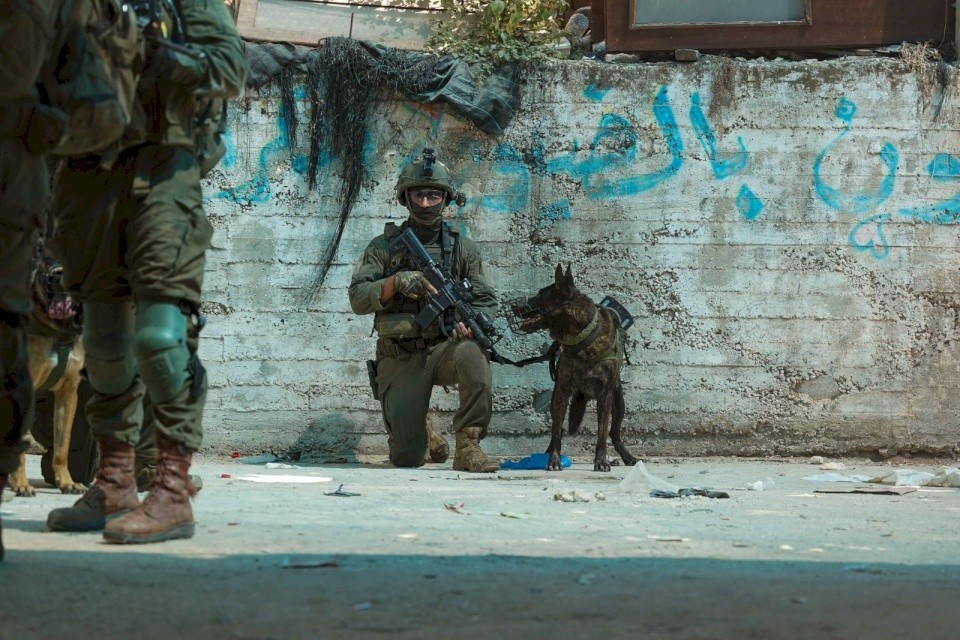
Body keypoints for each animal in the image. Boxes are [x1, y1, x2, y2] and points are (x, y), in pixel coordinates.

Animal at [7, 251, 87, 496]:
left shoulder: (68, 393)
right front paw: (21, 483)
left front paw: (67, 482)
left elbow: (62, 446)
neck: (59, 331)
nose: (57, 275)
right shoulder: (23, 391)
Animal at [508, 264, 638, 472]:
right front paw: (553, 460)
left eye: (539, 295)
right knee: (557, 429)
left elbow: (602, 433)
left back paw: (627, 456)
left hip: (618, 401)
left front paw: (601, 461)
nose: (513, 306)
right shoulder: (561, 392)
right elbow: (556, 433)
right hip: (557, 400)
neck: (583, 338)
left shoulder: (605, 395)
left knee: (613, 432)